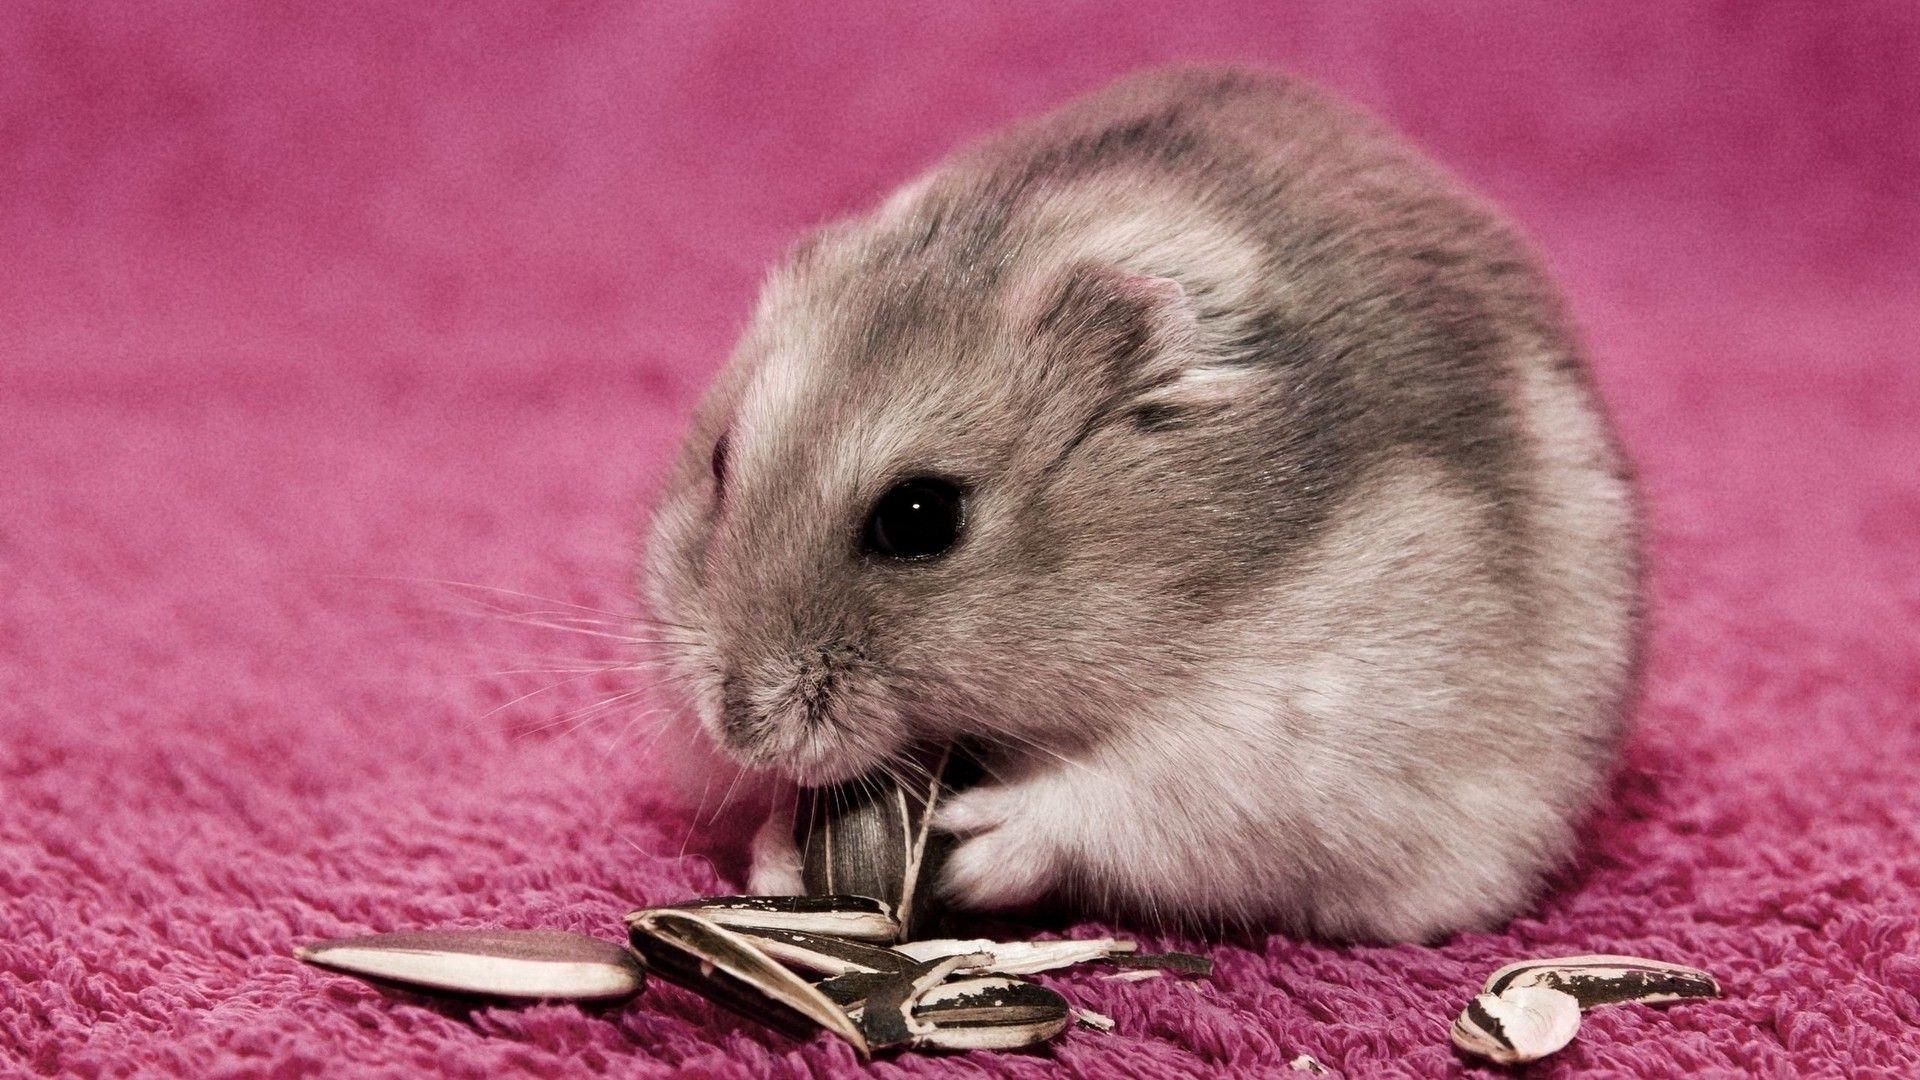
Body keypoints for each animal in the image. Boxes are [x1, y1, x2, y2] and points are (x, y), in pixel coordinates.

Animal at [641, 67, 1639, 942]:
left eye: (919, 518)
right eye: (720, 462)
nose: (738, 730)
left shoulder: (1284, 742)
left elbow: (1109, 799)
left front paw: (974, 842)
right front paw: (777, 855)